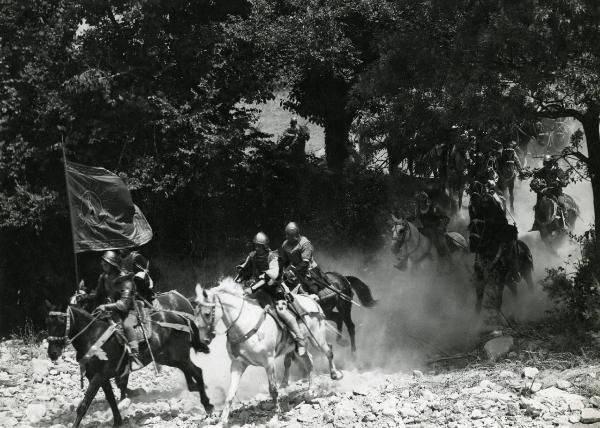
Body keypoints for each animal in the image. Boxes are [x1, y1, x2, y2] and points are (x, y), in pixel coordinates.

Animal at [45, 290, 212, 426]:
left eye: (61, 321)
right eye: (47, 322)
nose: (52, 353)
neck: (92, 336)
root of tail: (181, 317)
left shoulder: (98, 376)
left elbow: (83, 405)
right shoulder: (101, 378)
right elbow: (111, 400)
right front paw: (118, 421)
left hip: (179, 356)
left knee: (197, 372)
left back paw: (208, 405)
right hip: (169, 358)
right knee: (192, 373)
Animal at [193, 280, 342, 424]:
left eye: (207, 313)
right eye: (195, 314)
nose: (203, 340)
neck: (245, 324)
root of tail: (311, 298)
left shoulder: (269, 363)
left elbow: (273, 390)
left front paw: (276, 416)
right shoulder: (237, 365)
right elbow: (230, 394)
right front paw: (222, 421)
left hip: (317, 339)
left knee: (329, 351)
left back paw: (335, 375)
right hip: (299, 347)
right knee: (309, 361)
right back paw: (311, 390)